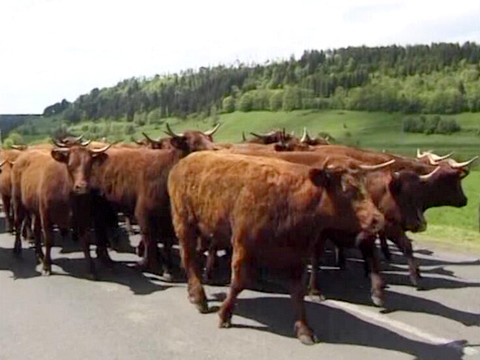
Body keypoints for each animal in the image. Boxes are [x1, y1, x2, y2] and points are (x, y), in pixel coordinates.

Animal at [167, 150, 384, 344]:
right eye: (346, 189)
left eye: (365, 186)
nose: (377, 219)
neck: (290, 200)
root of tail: (185, 161)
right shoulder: (243, 247)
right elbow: (238, 283)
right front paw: (225, 315)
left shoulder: (297, 256)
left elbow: (297, 292)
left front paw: (304, 329)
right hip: (184, 223)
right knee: (189, 258)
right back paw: (199, 297)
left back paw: (192, 293)